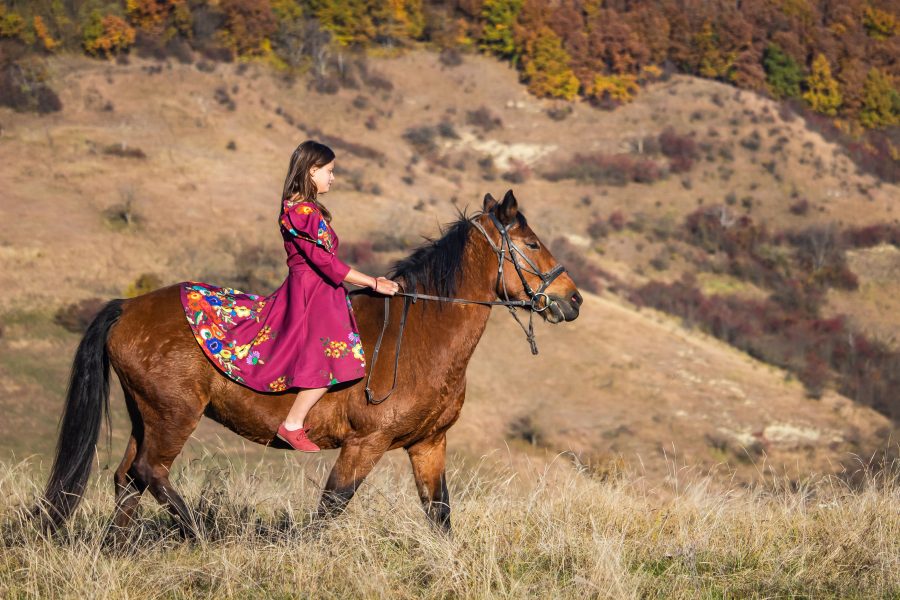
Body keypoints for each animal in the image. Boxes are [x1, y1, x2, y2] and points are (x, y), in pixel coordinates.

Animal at [38, 190, 584, 536]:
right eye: (532, 244)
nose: (573, 300)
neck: (422, 335)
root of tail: (128, 307)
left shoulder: (428, 444)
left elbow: (440, 514)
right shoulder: (365, 444)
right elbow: (330, 507)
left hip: (146, 415)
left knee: (128, 479)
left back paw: (118, 549)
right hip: (174, 416)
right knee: (151, 472)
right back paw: (199, 535)